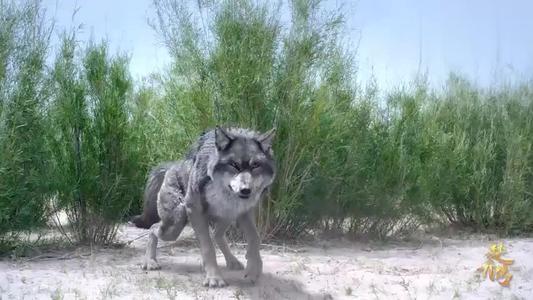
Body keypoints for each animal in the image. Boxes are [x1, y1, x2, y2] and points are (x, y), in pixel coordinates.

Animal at [131, 125, 276, 288]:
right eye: (234, 165)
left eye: (255, 165)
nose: (246, 190)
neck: (222, 192)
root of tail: (173, 165)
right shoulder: (195, 211)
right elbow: (208, 248)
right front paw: (214, 277)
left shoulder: (245, 212)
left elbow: (255, 239)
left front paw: (254, 269)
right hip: (177, 222)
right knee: (153, 228)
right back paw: (149, 261)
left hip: (227, 217)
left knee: (217, 234)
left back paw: (232, 261)